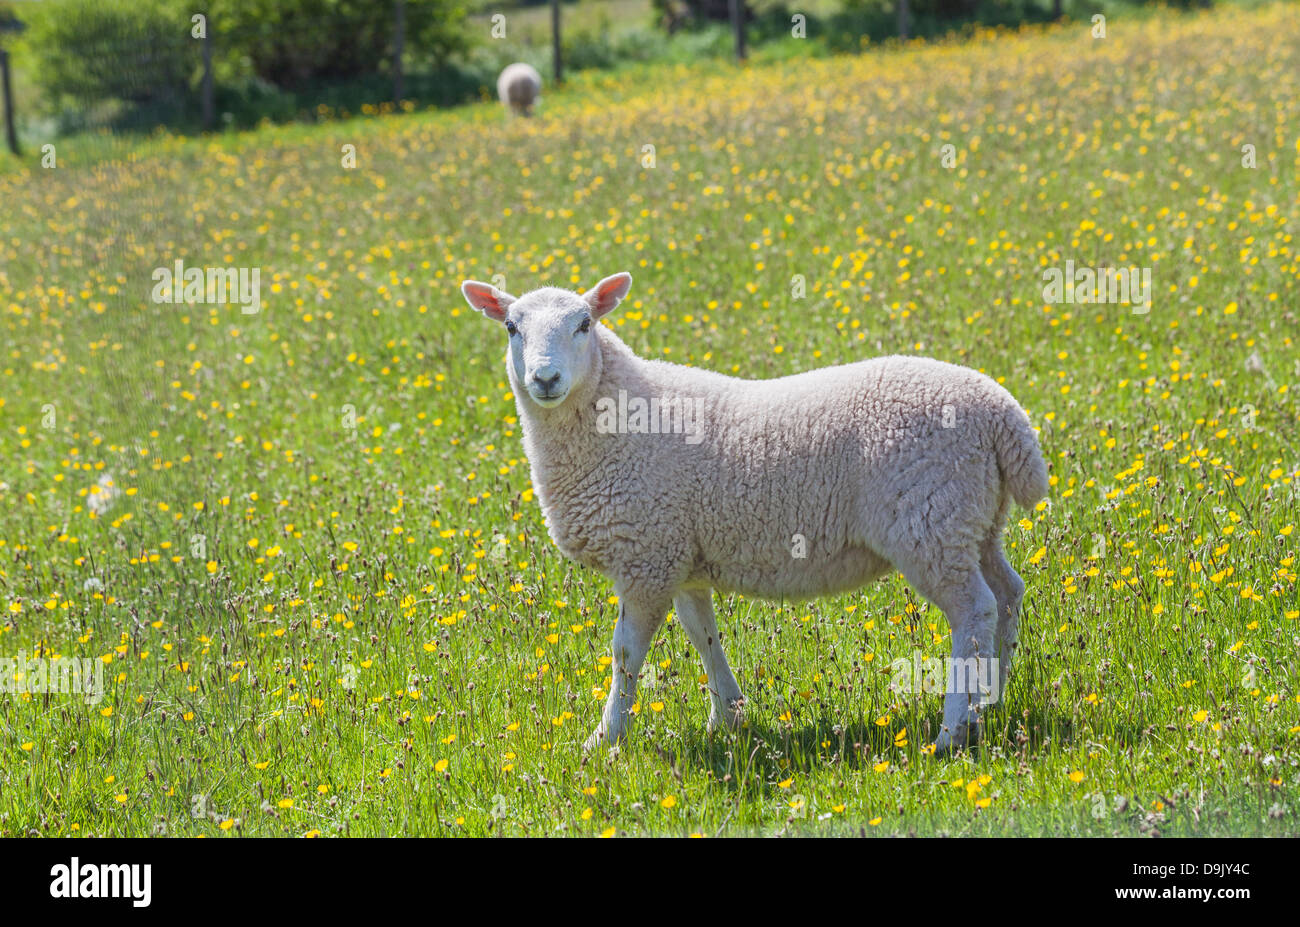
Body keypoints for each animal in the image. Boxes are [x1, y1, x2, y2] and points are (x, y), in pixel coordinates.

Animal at [462, 273, 1050, 754]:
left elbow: (626, 654)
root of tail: (1001, 414)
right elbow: (703, 635)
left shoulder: (646, 555)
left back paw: (953, 731)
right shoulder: (681, 556)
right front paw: (728, 717)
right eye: (511, 327)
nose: (544, 379)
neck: (614, 419)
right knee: (1007, 593)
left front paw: (605, 739)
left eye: (585, 324)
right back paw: (991, 702)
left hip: (931, 520)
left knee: (972, 612)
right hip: (974, 517)